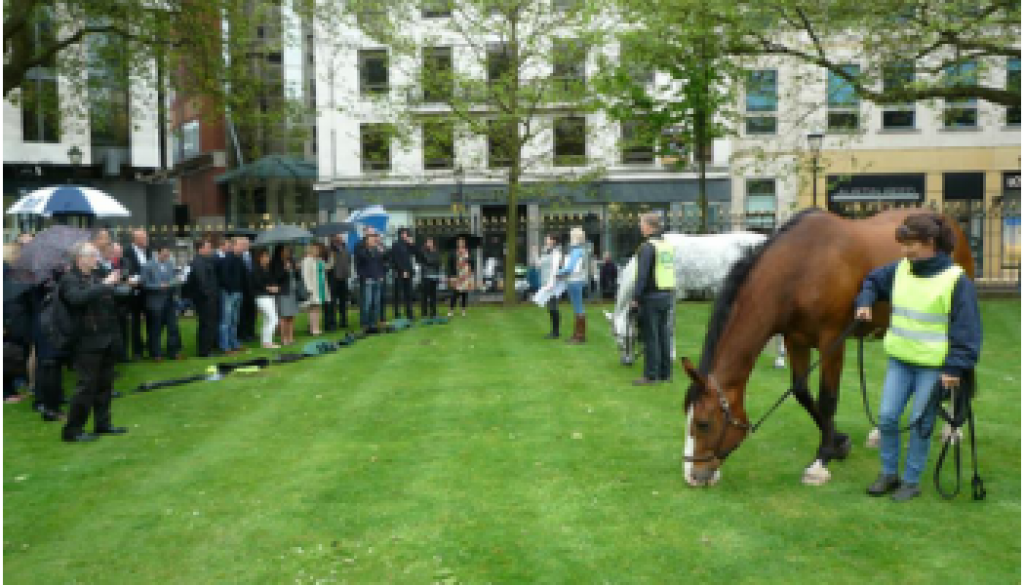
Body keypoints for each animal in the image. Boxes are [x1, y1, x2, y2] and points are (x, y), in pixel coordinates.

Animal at [606, 231, 768, 365]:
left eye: (620, 334)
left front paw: (670, 356)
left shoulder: (671, 295)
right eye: (614, 334)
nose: (625, 361)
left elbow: (669, 326)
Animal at [680, 208, 975, 487]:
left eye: (703, 423)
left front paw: (821, 460)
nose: (692, 476)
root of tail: (950, 225)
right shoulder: (796, 340)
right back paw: (882, 433)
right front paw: (839, 443)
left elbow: (827, 399)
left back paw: (953, 429)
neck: (802, 268)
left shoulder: (832, 342)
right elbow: (802, 393)